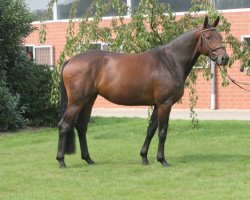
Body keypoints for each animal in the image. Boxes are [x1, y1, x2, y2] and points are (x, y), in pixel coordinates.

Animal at [56, 16, 229, 168]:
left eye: (220, 36)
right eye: (208, 37)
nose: (224, 58)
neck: (170, 62)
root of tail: (70, 60)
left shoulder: (157, 105)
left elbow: (151, 130)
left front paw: (144, 157)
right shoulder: (165, 104)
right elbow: (162, 132)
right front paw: (162, 160)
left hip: (89, 100)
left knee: (81, 127)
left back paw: (88, 159)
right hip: (76, 102)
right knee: (64, 125)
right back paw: (61, 161)